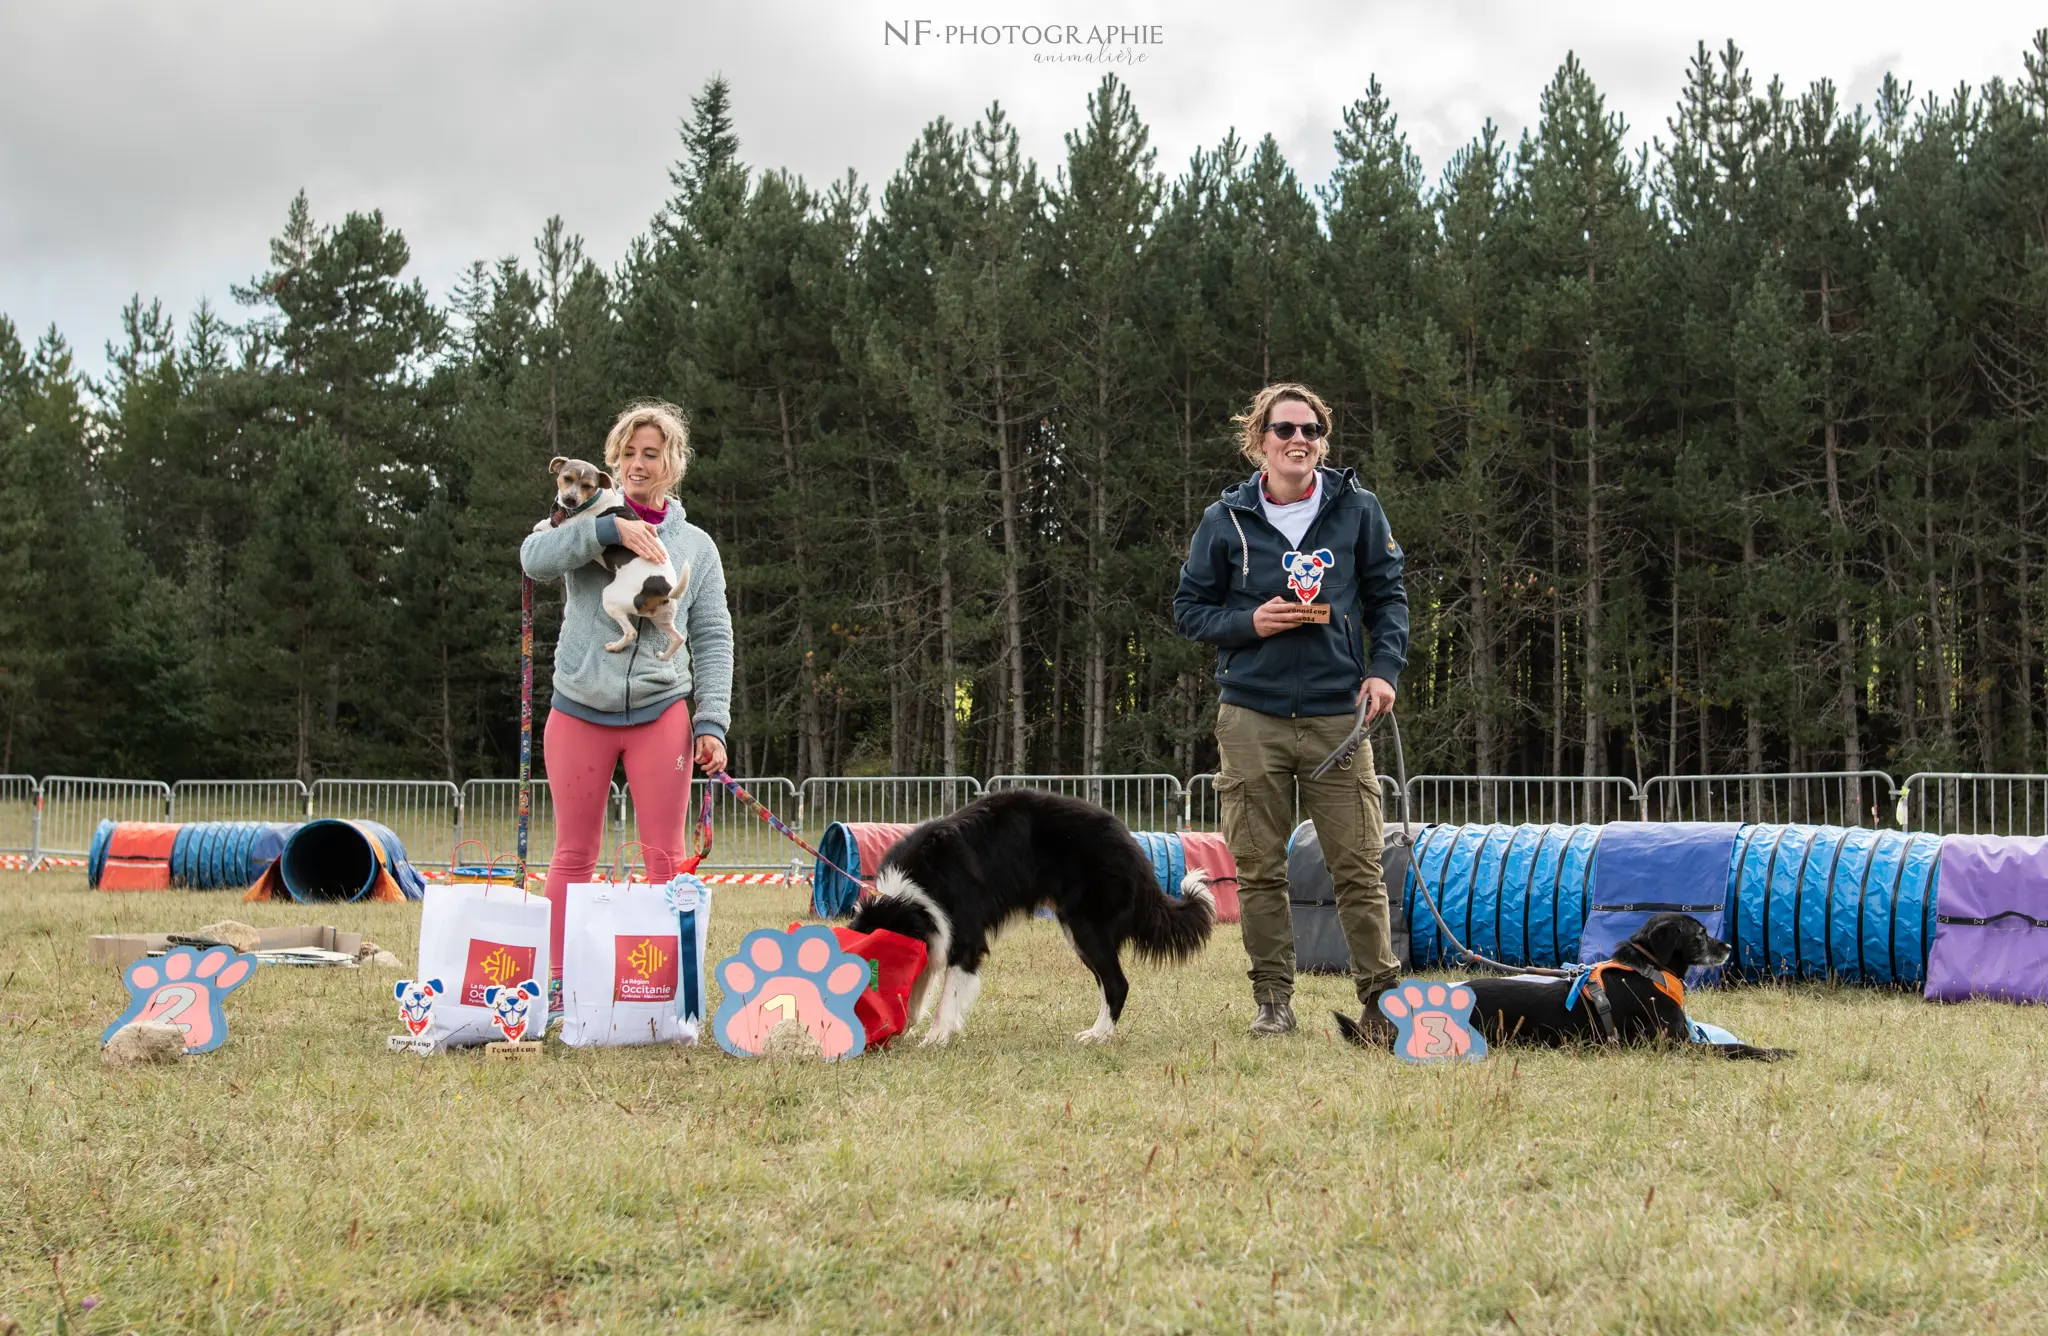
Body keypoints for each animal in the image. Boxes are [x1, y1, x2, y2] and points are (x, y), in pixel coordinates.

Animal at [1327, 913, 1794, 1057]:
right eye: (1698, 934)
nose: (1728, 946)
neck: (1647, 972)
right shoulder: (1673, 1045)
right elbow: (1735, 1047)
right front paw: (1775, 1051)